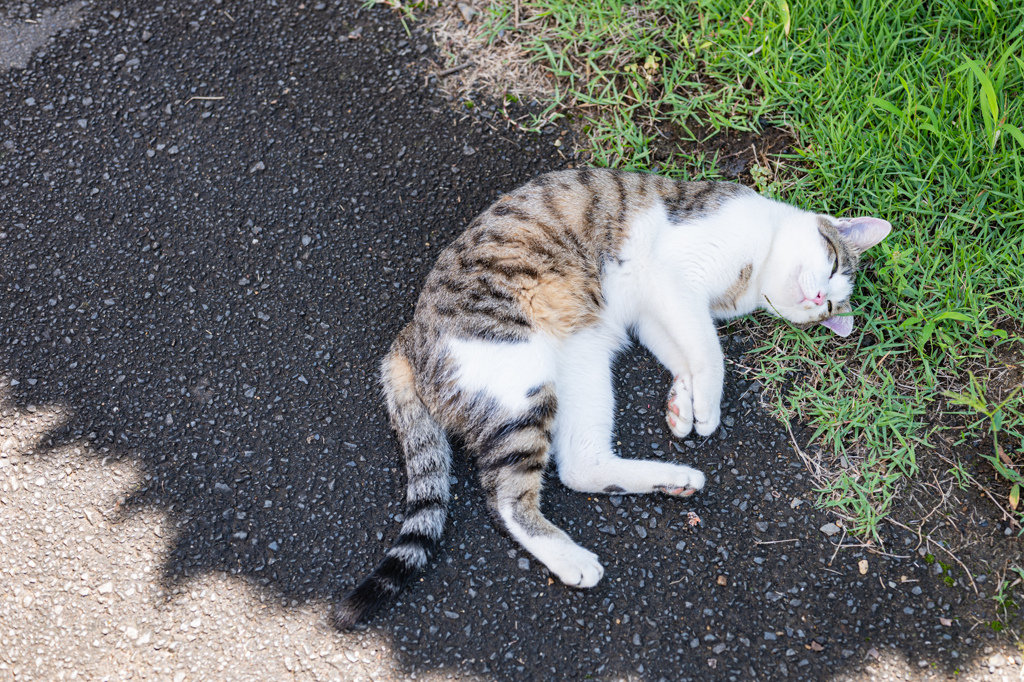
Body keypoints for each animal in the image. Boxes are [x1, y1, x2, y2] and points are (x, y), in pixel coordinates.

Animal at [335, 166, 888, 622]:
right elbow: (707, 348)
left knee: (579, 466)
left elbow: (683, 347)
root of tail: (410, 337)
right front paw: (707, 404)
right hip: (520, 378)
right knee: (506, 498)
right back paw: (573, 558)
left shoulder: (653, 311)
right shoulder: (674, 278)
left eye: (830, 306)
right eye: (833, 265)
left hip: (583, 364)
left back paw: (673, 480)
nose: (819, 300)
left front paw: (682, 404)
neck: (750, 275)